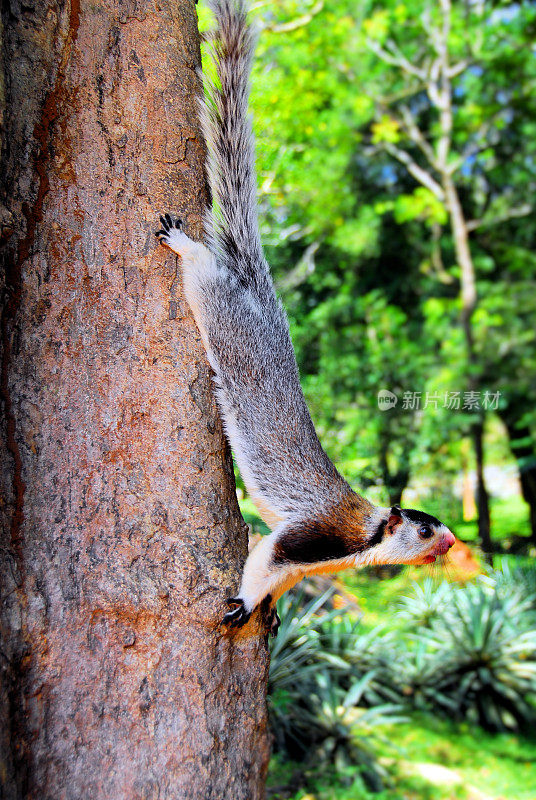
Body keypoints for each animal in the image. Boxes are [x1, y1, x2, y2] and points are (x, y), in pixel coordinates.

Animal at [156, 1, 456, 636]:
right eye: (423, 528)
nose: (450, 541)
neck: (365, 539)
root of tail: (259, 294)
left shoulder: (308, 563)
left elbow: (281, 581)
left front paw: (267, 611)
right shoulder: (310, 538)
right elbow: (266, 557)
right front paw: (245, 604)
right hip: (221, 311)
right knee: (204, 272)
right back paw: (184, 245)